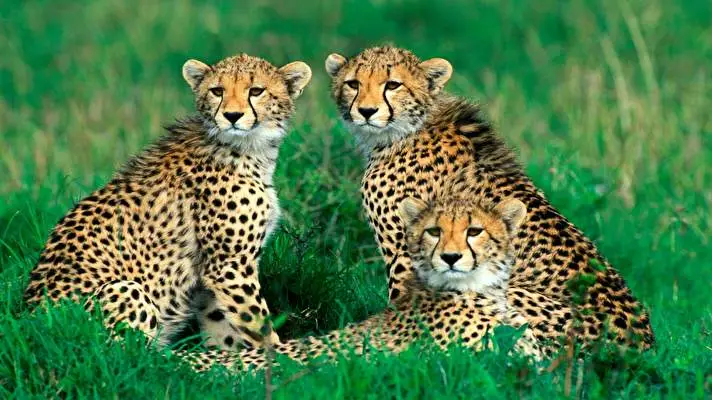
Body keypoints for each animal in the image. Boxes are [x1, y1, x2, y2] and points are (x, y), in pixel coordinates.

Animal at [23, 53, 312, 350]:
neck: (246, 147)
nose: (232, 116)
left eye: (256, 91)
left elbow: (224, 327)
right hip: (123, 289)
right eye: (217, 91)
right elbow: (258, 325)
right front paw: (280, 354)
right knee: (135, 355)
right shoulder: (229, 265)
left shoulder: (213, 274)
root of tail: (31, 328)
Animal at [323, 45, 654, 349]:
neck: (408, 129)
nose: (366, 112)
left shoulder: (407, 256)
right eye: (353, 83)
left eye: (393, 84)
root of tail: (639, 348)